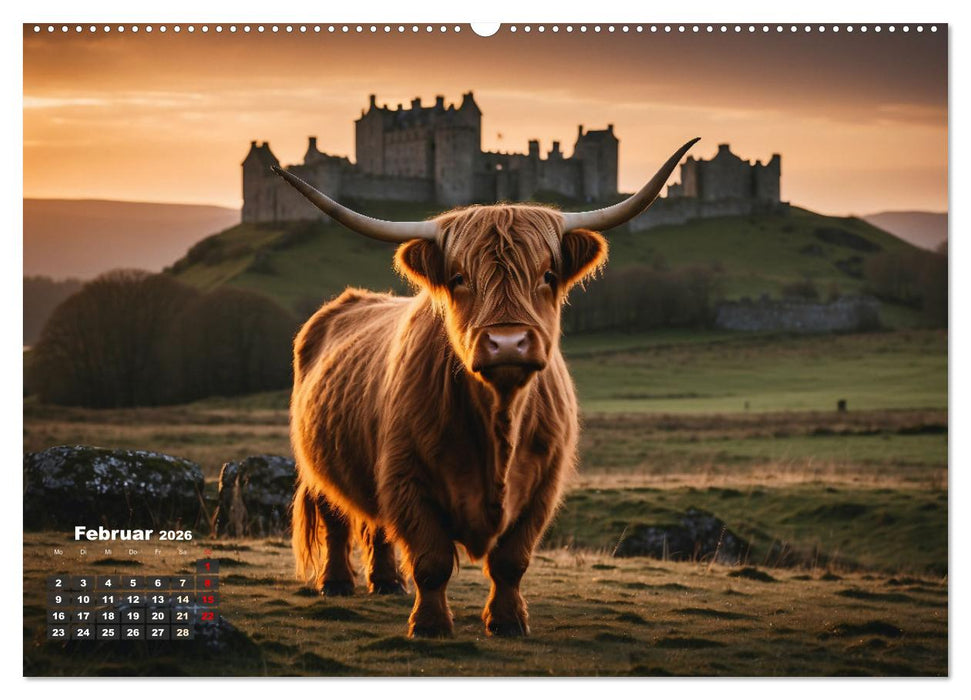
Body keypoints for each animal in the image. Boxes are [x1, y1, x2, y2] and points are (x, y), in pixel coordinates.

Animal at [275, 138, 699, 638]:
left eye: (547, 275)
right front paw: (431, 625)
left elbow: (511, 561)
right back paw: (338, 583)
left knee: (375, 526)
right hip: (318, 463)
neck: (499, 419)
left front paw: (509, 620)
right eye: (459, 278)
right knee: (337, 518)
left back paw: (387, 582)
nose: (508, 343)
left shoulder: (542, 487)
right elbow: (432, 560)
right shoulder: (406, 478)